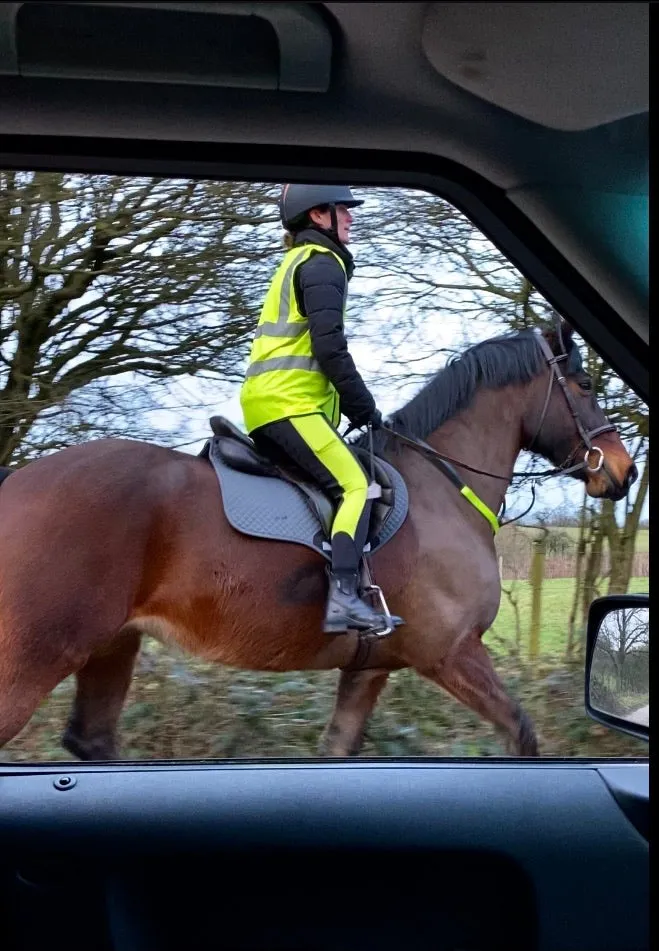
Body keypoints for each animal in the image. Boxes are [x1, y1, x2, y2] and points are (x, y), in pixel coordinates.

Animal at [0, 324, 640, 764]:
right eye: (585, 383)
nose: (624, 471)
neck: (442, 486)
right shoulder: (451, 653)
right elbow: (521, 732)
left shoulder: (370, 669)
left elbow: (336, 748)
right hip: (37, 654)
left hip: (112, 644)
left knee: (92, 740)